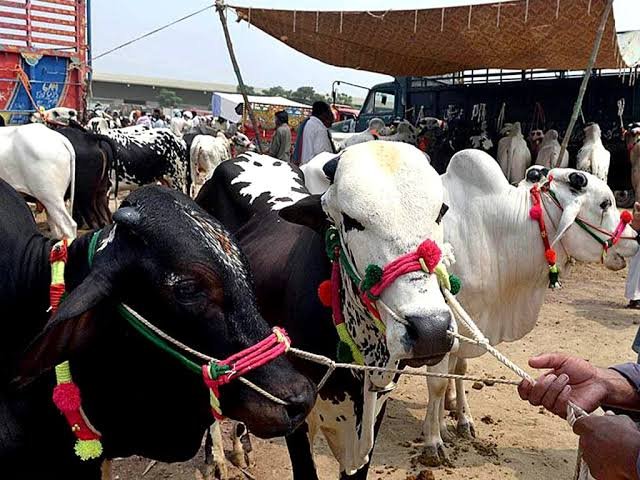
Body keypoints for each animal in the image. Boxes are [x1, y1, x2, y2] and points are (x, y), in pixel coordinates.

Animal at [418, 148, 636, 464]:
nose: (635, 239)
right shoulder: (447, 326)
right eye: (605, 203)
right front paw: (433, 439)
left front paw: (461, 420)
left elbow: (457, 372)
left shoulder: (471, 327)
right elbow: (436, 382)